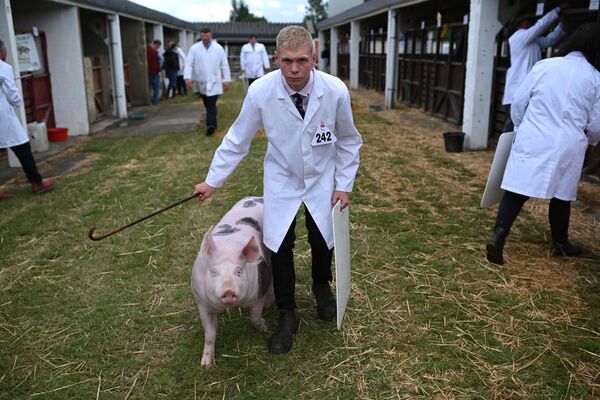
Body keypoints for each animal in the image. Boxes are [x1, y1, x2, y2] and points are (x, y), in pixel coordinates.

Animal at [191, 196, 274, 366]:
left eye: (238, 271)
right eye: (213, 272)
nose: (228, 290)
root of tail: (258, 198)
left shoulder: (257, 295)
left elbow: (254, 317)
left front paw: (264, 327)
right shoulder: (202, 304)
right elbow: (210, 334)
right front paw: (205, 364)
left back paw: (270, 305)